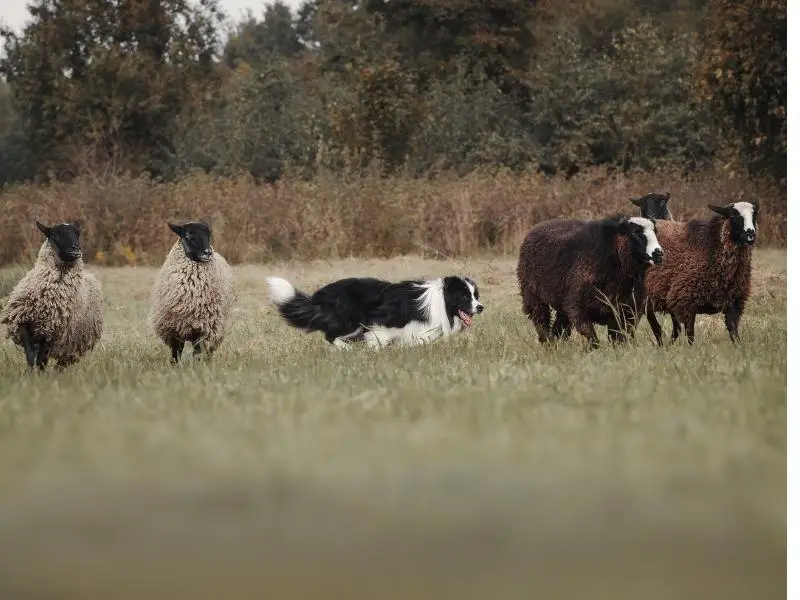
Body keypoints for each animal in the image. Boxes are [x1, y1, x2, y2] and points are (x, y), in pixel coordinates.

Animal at [0, 221, 104, 370]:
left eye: (77, 233)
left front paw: (37, 372)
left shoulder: (51, 333)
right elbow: (31, 355)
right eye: (55, 235)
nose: (76, 248)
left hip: (72, 343)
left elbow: (40, 358)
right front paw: (31, 371)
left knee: (61, 363)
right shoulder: (23, 323)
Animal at [150, 220, 236, 360]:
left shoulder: (203, 329)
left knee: (207, 351)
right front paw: (174, 365)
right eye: (188, 235)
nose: (208, 252)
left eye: (208, 235)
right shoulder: (173, 328)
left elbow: (198, 353)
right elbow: (176, 353)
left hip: (215, 329)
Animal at [266, 276, 484, 350]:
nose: (481, 307)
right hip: (351, 322)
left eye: (475, 295)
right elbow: (381, 338)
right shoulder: (384, 323)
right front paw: (376, 349)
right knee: (331, 337)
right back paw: (346, 349)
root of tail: (318, 297)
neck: (442, 301)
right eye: (465, 297)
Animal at [516, 216, 664, 350]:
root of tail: (538, 226)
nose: (659, 254)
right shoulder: (577, 307)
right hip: (533, 294)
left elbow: (618, 339)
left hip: (562, 303)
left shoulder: (625, 311)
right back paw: (549, 344)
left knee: (560, 328)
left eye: (655, 231)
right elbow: (593, 339)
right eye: (635, 232)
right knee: (540, 320)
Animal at [640, 200, 760, 344]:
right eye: (733, 214)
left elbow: (734, 335)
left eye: (755, 214)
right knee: (654, 322)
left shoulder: (734, 303)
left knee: (674, 327)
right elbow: (691, 337)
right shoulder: (685, 303)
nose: (750, 234)